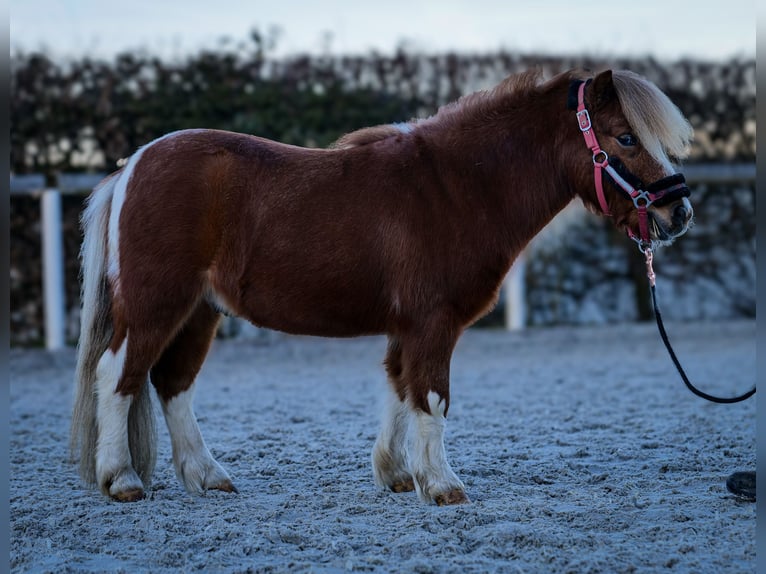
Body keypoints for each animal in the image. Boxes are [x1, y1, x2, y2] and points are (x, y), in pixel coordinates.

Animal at [70, 70, 696, 506]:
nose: (680, 212)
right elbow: (433, 396)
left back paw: (208, 477)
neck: (457, 187)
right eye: (625, 137)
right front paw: (442, 485)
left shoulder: (408, 326)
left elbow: (400, 389)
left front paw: (398, 474)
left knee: (172, 384)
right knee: (118, 375)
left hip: (198, 312)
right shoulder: (433, 323)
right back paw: (121, 480)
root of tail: (132, 166)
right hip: (156, 304)